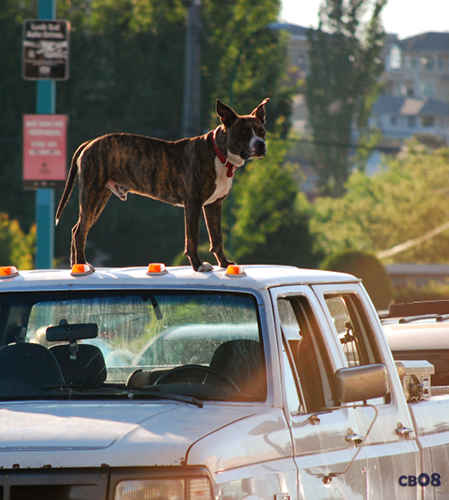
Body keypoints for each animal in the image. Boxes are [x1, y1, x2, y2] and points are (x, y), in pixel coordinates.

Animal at [54, 96, 268, 272]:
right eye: (243, 132)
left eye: (261, 131)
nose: (260, 144)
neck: (220, 154)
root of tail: (90, 142)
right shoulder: (193, 204)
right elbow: (191, 238)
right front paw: (198, 265)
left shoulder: (214, 205)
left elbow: (217, 238)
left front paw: (224, 264)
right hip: (93, 194)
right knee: (80, 231)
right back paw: (82, 265)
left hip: (99, 198)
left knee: (77, 228)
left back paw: (76, 265)